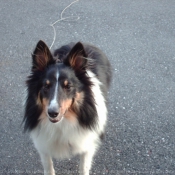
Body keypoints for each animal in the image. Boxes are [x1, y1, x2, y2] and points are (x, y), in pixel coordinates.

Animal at [22, 40, 110, 174]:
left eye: (68, 86)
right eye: (46, 86)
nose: (52, 113)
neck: (63, 122)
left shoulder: (88, 143)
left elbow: (83, 167)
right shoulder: (43, 145)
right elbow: (48, 166)